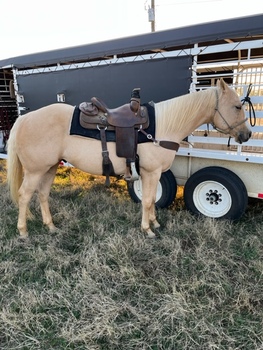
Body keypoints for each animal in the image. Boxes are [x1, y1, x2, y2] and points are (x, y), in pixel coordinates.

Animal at [7, 79, 252, 238]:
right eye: (236, 106)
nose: (247, 135)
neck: (162, 126)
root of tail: (25, 118)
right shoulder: (150, 172)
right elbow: (147, 200)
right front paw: (147, 229)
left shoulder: (154, 173)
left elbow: (151, 199)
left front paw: (155, 223)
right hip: (35, 170)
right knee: (24, 195)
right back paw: (23, 231)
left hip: (49, 168)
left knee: (42, 194)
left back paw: (50, 226)